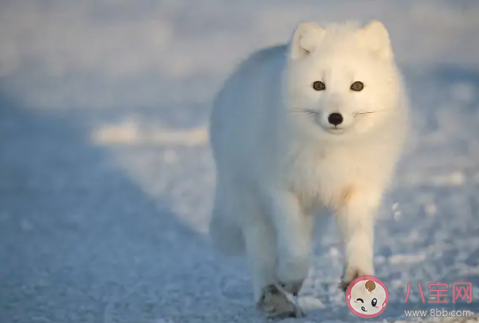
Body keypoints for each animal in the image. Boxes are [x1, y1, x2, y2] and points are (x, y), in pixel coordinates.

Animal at [209, 20, 408, 318]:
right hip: (251, 206)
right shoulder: (281, 191)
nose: (335, 117)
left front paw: (359, 275)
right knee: (261, 256)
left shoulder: (359, 190)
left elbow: (359, 235)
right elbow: (295, 243)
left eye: (357, 86)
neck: (329, 152)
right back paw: (273, 298)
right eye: (318, 85)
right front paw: (291, 277)